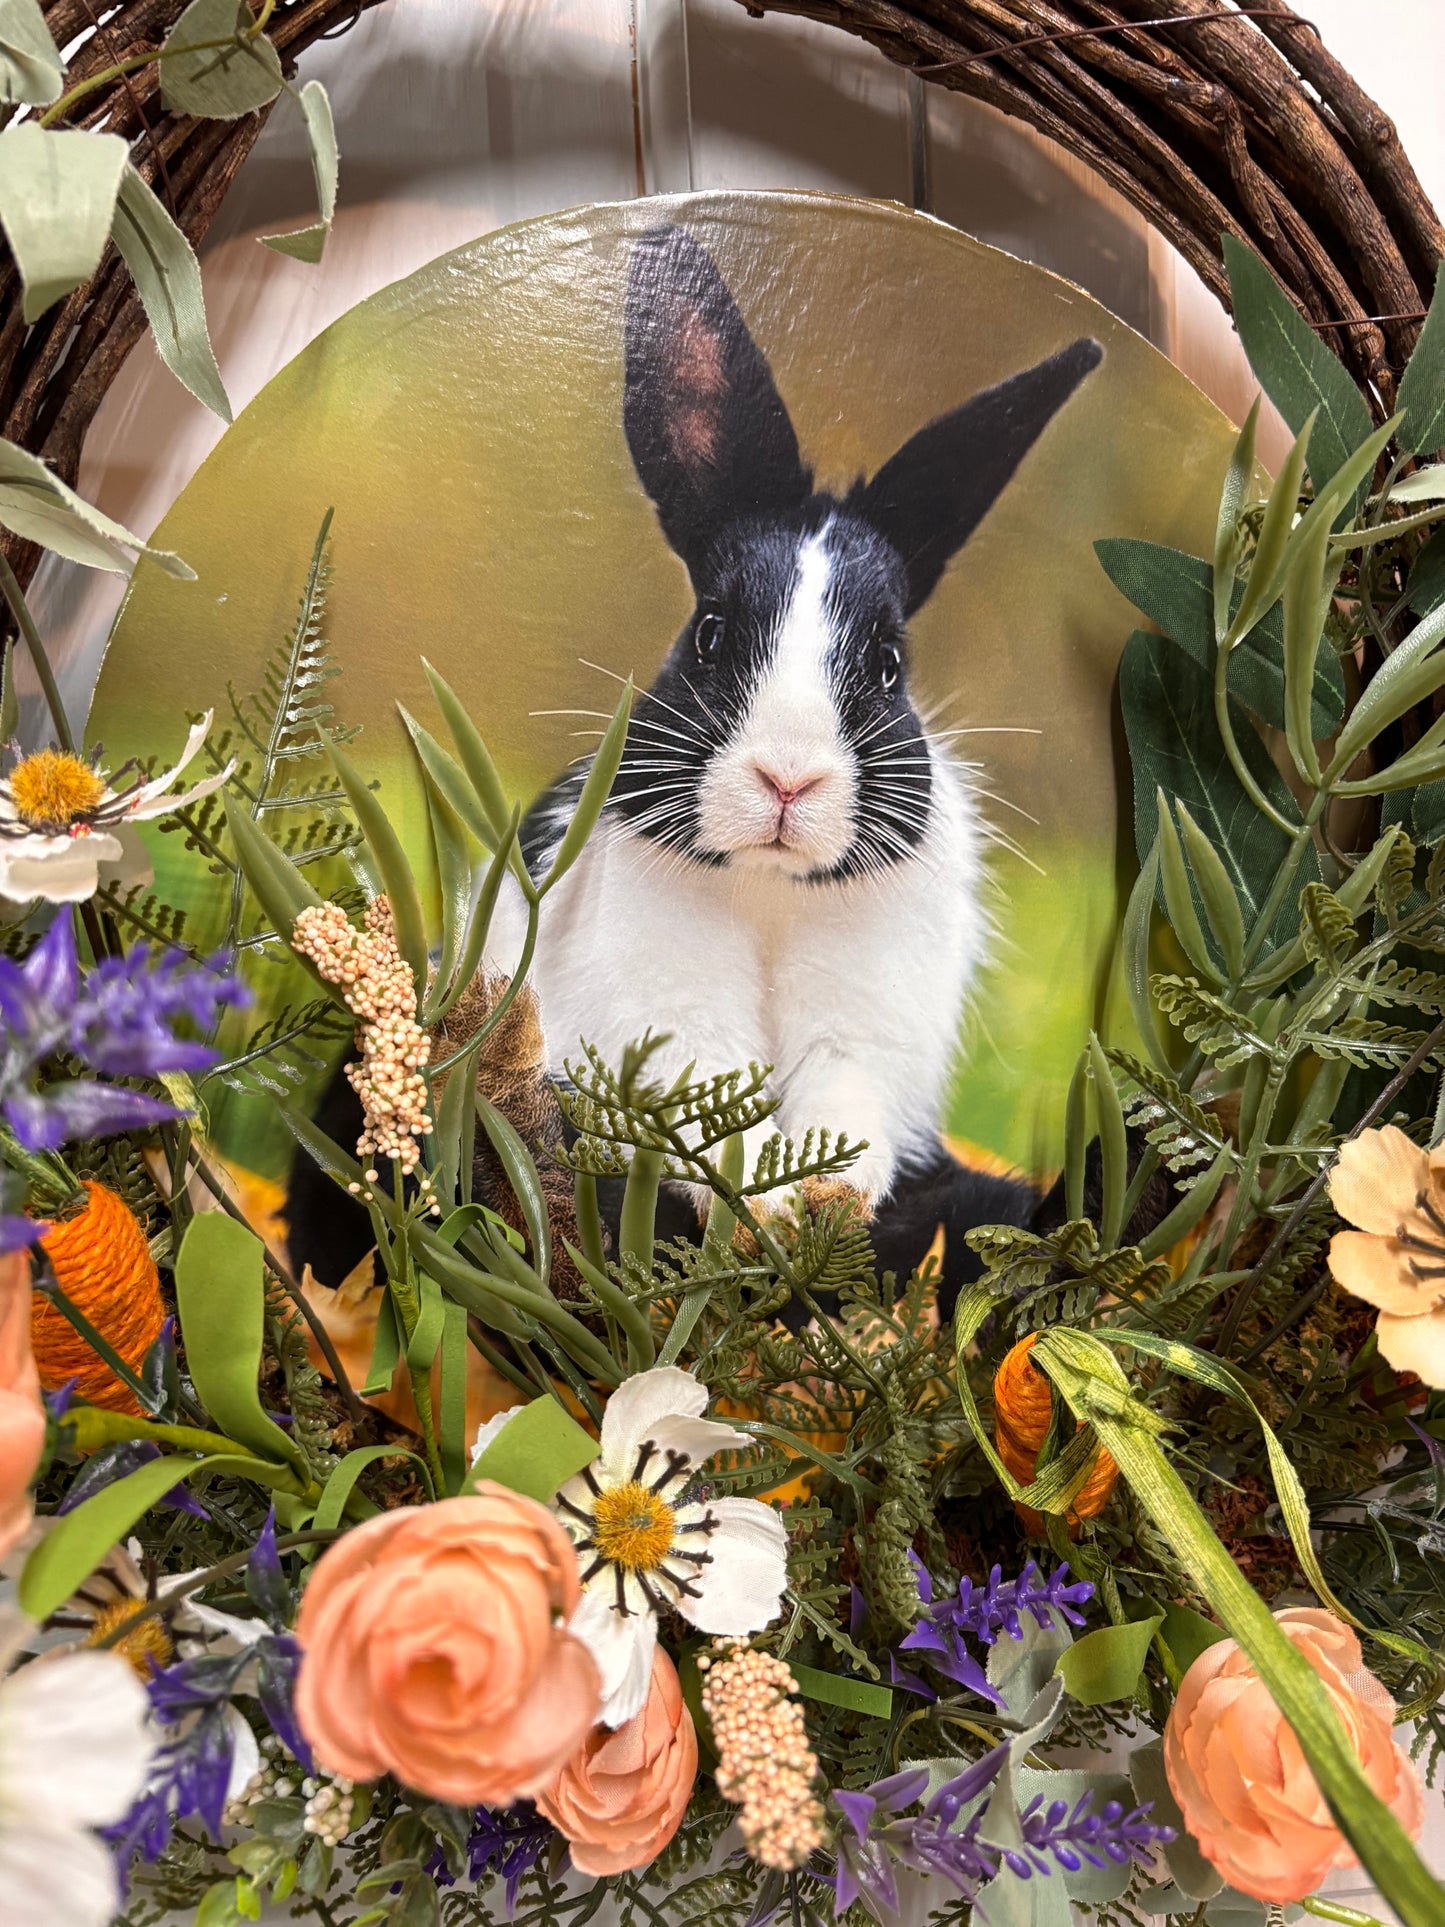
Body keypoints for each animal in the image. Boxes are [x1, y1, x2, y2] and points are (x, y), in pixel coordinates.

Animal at [484, 224, 1102, 1297]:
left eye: (889, 662)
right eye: (710, 633)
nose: (786, 779)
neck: (769, 886)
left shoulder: (863, 1029)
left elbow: (843, 1103)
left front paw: (825, 1202)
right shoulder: (665, 1017)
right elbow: (707, 1101)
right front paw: (770, 1211)